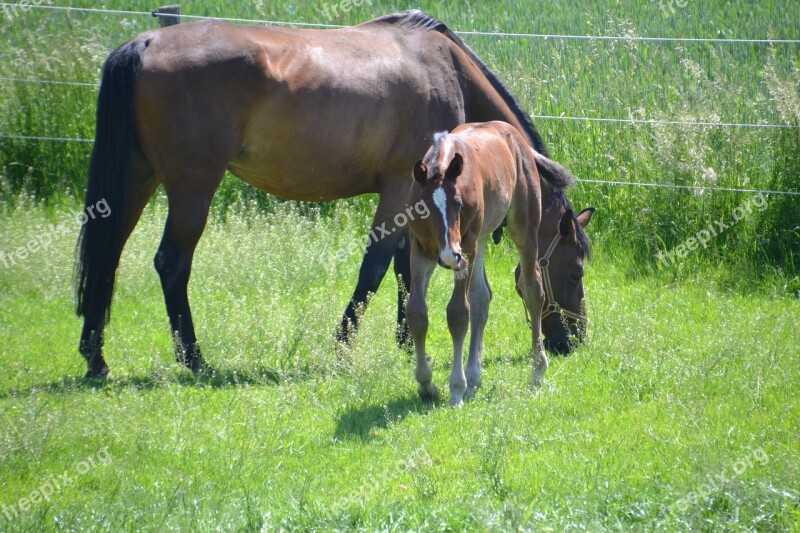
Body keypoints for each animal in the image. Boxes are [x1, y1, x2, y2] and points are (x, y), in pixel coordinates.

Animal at [75, 11, 564, 378]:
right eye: (571, 262)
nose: (568, 342)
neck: (447, 68)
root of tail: (146, 43)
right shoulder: (401, 189)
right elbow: (375, 269)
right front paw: (344, 347)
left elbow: (403, 270)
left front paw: (406, 341)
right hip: (193, 187)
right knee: (171, 263)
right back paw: (194, 360)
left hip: (138, 178)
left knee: (107, 255)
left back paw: (96, 358)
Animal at [410, 119, 592, 404]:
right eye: (424, 208)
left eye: (459, 204)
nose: (450, 255)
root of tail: (516, 138)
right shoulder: (420, 249)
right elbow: (417, 313)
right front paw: (426, 384)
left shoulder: (467, 248)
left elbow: (458, 313)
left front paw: (456, 388)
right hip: (482, 238)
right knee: (481, 297)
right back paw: (474, 379)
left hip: (520, 230)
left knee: (533, 290)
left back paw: (537, 371)